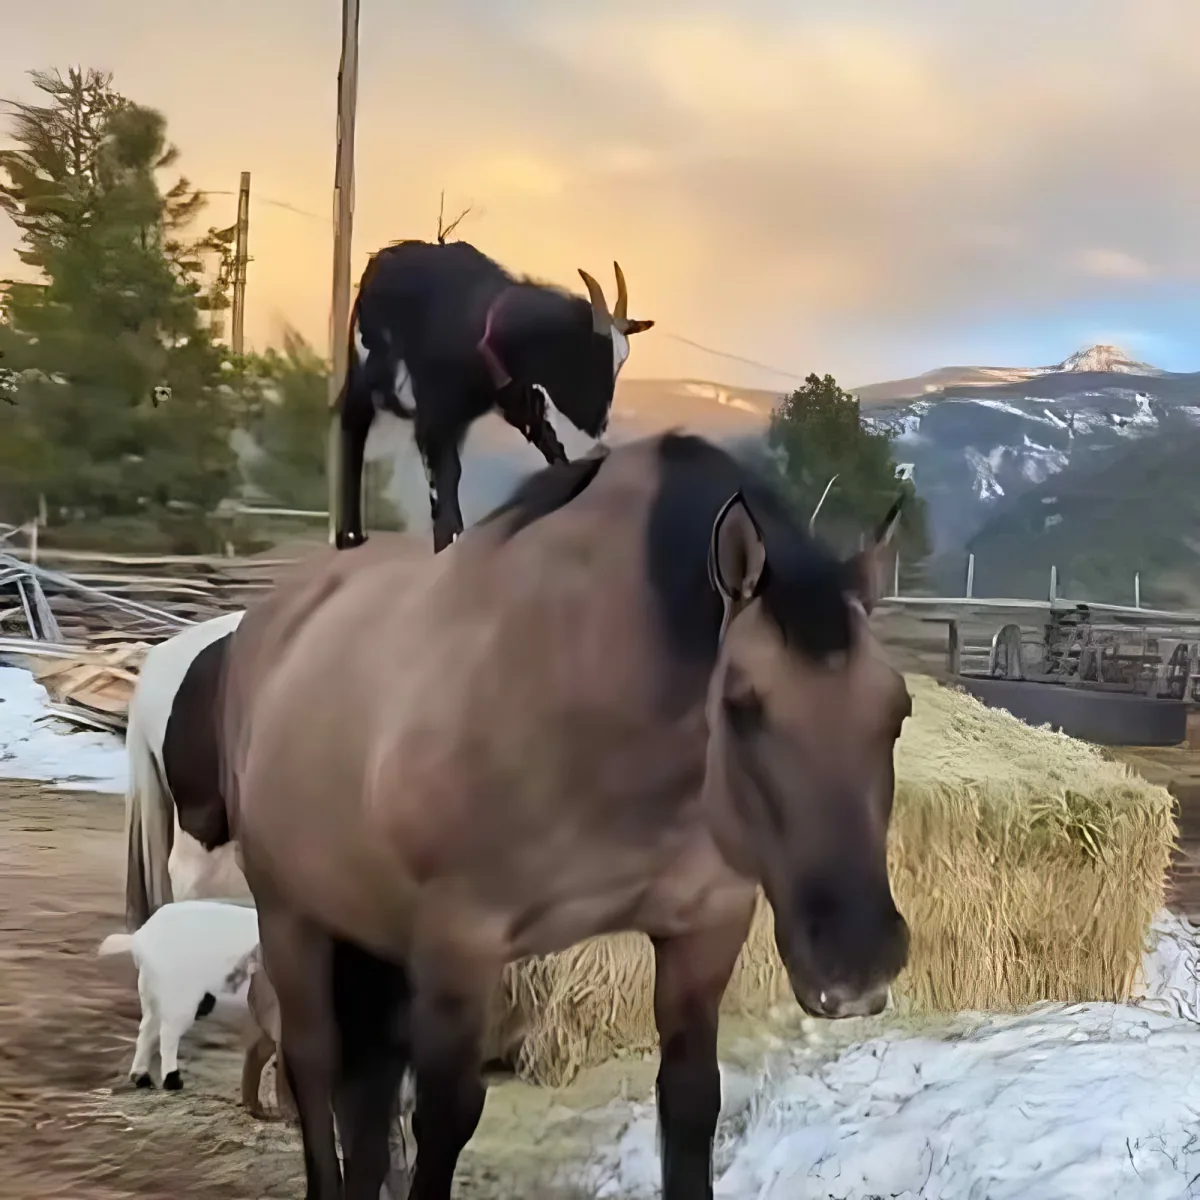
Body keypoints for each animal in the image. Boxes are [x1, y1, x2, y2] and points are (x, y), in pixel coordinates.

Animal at [220, 432, 912, 1200]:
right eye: (740, 704)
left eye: (897, 709)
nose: (859, 959)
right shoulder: (458, 944)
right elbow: (444, 1119)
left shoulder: (706, 930)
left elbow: (691, 1103)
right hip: (289, 915)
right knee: (313, 1065)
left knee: (368, 1090)